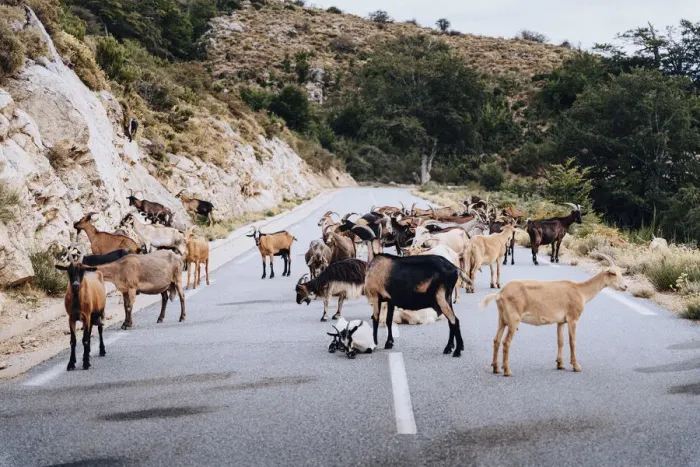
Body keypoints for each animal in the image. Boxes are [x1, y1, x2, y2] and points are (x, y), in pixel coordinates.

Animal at [481, 253, 627, 376]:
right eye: (612, 273)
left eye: (621, 272)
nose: (625, 287)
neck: (580, 291)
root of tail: (500, 294)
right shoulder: (573, 319)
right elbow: (572, 341)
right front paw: (576, 366)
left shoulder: (561, 321)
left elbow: (560, 341)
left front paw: (560, 364)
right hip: (513, 319)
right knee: (506, 342)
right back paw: (507, 371)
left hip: (502, 319)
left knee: (496, 340)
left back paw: (496, 368)